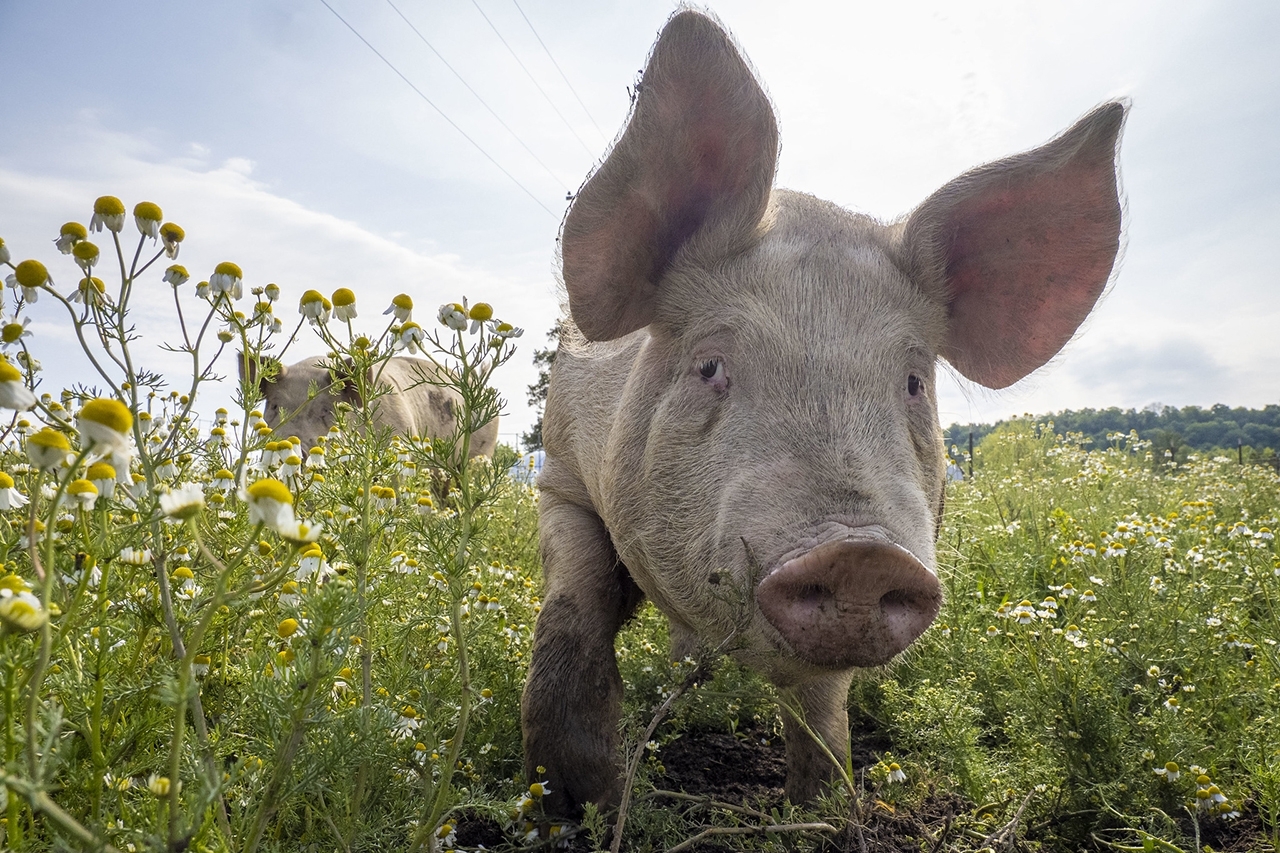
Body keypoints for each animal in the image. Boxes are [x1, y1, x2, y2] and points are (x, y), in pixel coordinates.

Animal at [517, 9, 1121, 814]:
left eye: (913, 382)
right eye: (710, 366)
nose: (859, 554)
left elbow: (822, 708)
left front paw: (822, 813)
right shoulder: (562, 476)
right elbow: (572, 612)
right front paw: (578, 806)